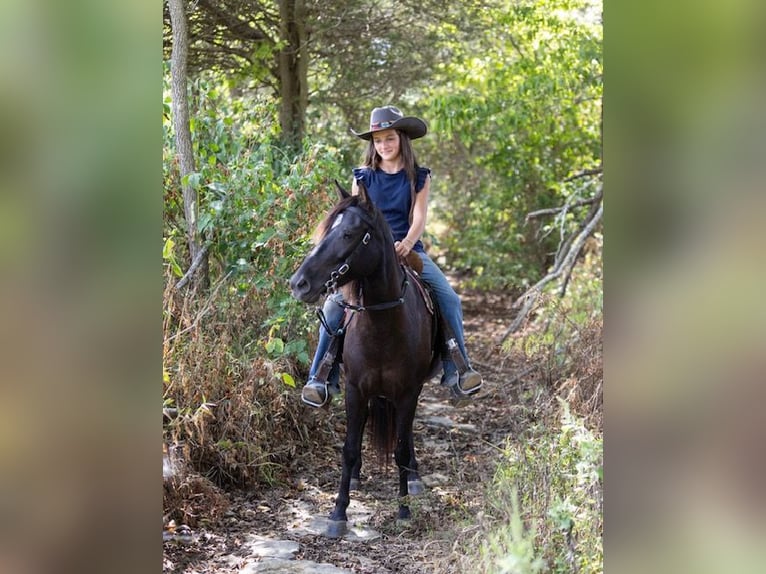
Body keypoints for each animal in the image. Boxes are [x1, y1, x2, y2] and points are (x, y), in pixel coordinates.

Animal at [289, 181, 441, 538]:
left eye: (348, 234)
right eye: (326, 230)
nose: (298, 283)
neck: (384, 323)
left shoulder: (409, 392)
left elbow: (400, 448)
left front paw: (403, 510)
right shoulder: (355, 389)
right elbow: (348, 448)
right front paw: (338, 514)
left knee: (406, 437)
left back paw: (413, 478)